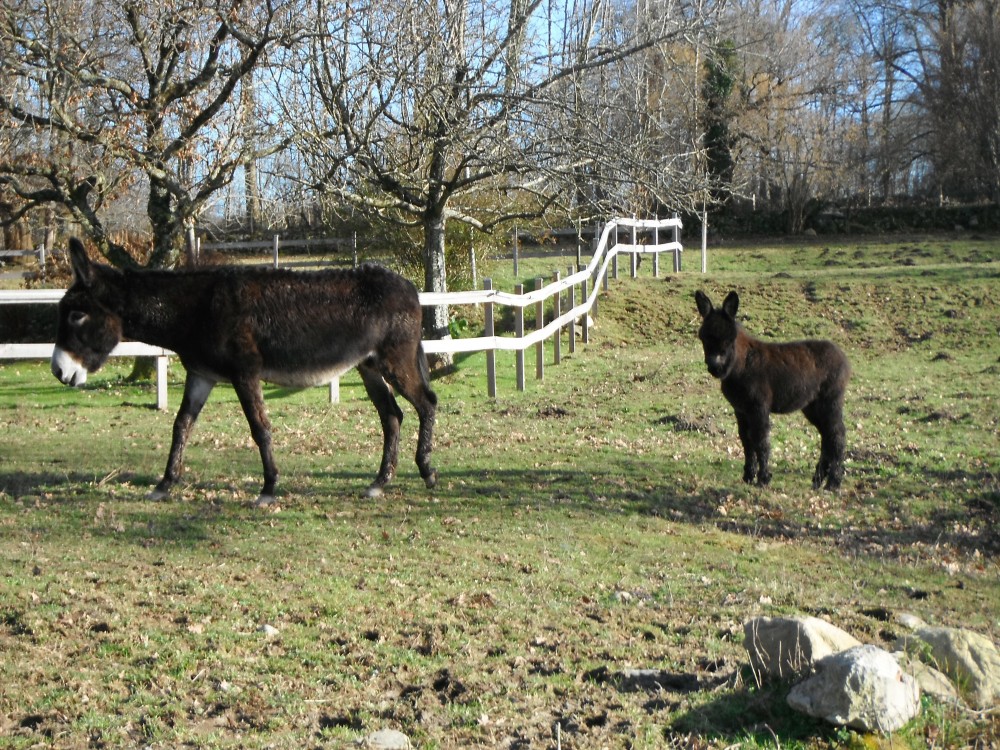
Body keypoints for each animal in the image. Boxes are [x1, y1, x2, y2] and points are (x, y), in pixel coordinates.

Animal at [696, 292, 852, 494]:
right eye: (704, 338)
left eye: (729, 339)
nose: (715, 367)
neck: (741, 365)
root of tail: (843, 357)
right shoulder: (740, 410)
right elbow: (746, 440)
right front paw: (748, 477)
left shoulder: (759, 407)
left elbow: (761, 440)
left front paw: (763, 480)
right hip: (812, 406)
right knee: (827, 436)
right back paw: (818, 481)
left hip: (830, 400)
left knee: (837, 435)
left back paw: (833, 484)